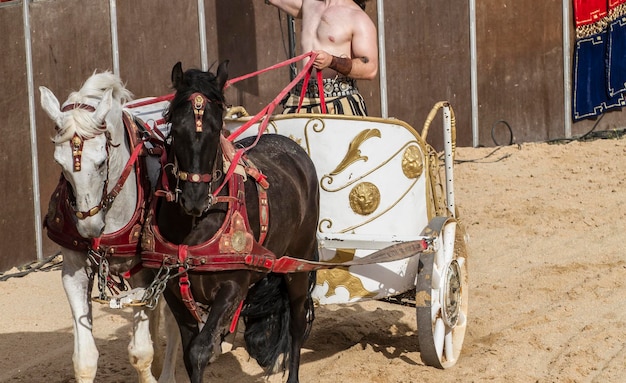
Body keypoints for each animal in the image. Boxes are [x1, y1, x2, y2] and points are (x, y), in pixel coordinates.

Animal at [39, 73, 178, 383]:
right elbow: (85, 360)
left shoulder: (143, 274)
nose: (89, 226)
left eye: (102, 161)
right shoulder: (74, 271)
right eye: (59, 163)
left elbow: (140, 353)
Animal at [141, 63, 316, 383]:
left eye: (216, 128)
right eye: (176, 128)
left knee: (297, 322)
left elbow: (200, 351)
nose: (195, 199)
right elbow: (190, 353)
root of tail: (293, 149)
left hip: (298, 263)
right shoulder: (173, 290)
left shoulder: (233, 286)